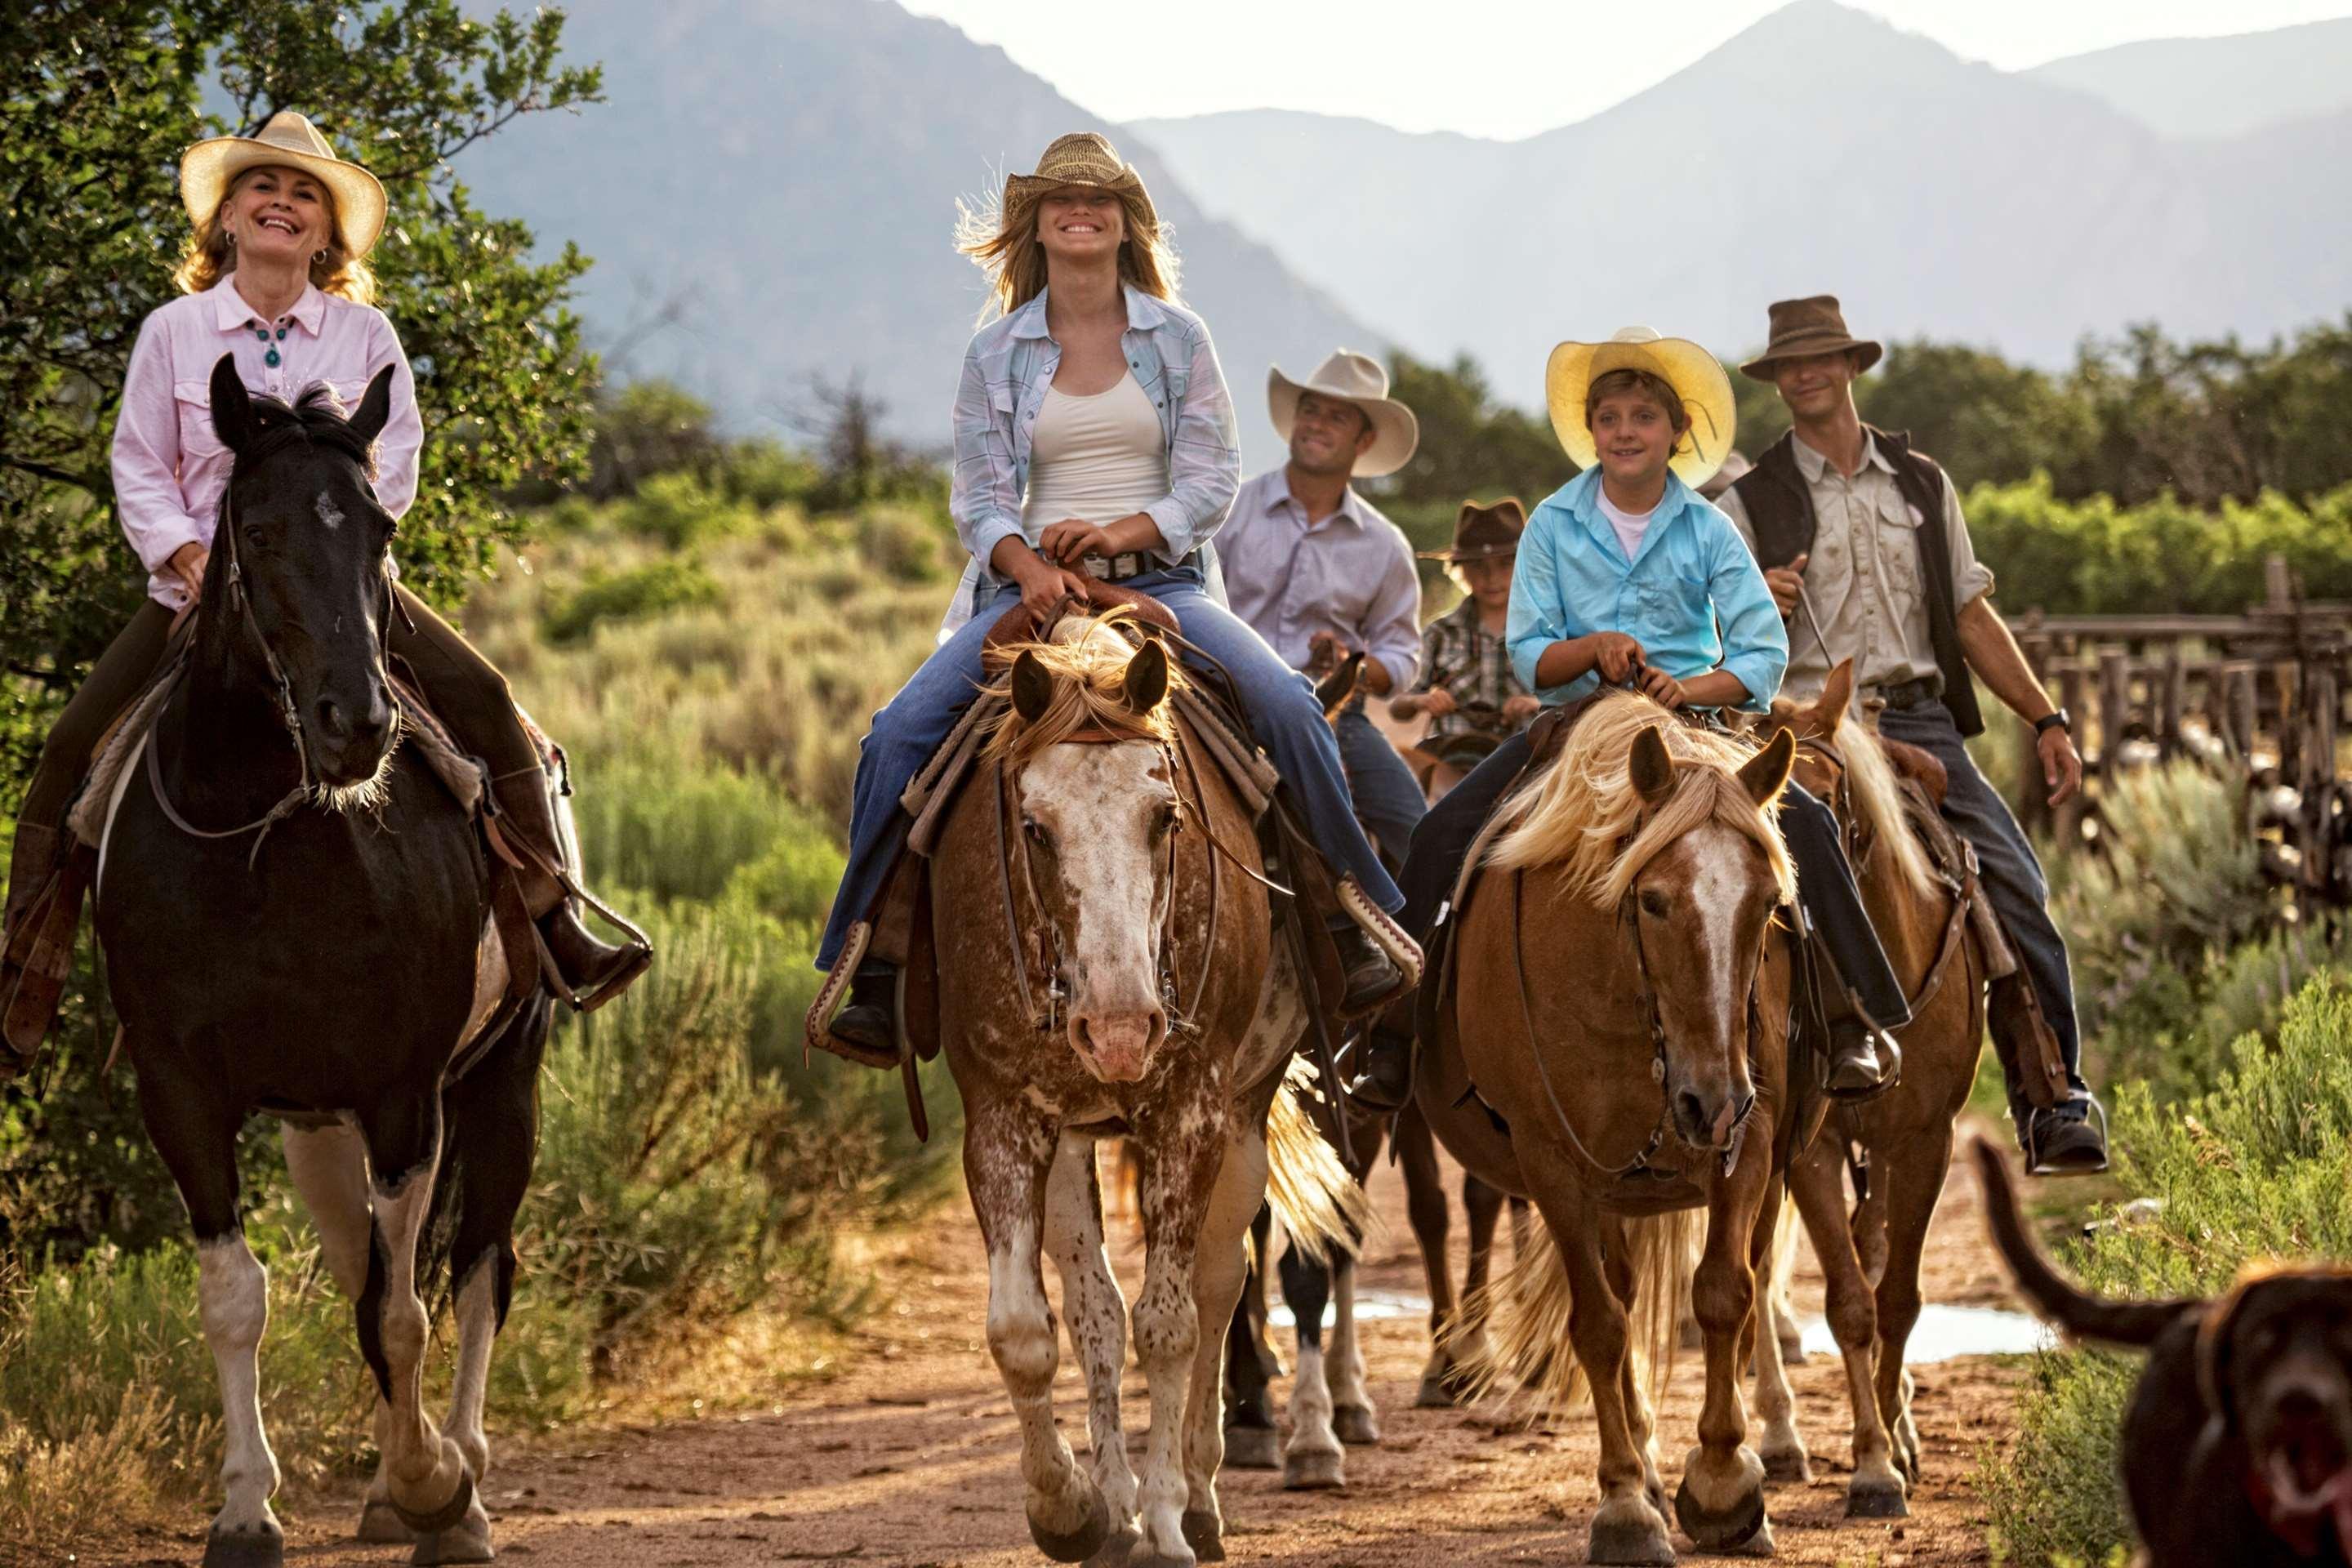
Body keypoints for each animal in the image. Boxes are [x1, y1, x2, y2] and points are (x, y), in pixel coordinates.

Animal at [91, 359, 550, 1568]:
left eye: (380, 528)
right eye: (254, 529)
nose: (356, 726)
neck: (257, 840)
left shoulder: (404, 1094)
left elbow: (402, 1310)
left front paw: (438, 1486)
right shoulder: (181, 1092)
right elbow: (241, 1298)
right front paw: (248, 1509)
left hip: (503, 1081)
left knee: (478, 1272)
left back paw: (456, 1480)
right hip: (317, 1124)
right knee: (367, 1263)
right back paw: (393, 1484)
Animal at [921, 611, 1354, 1568]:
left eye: (1166, 817)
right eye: (1034, 827)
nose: (1120, 1030)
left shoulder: (1189, 1114)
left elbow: (1172, 1323)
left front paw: (1163, 1524)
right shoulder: (1005, 1117)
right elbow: (1031, 1331)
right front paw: (1072, 1509)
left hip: (1242, 1124)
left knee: (1219, 1284)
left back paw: (1200, 1494)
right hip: (1078, 1143)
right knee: (1097, 1310)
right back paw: (1117, 1502)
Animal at [1411, 700, 1797, 1568]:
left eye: (1767, 904)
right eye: (1651, 900)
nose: (1710, 1101)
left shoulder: (1751, 1142)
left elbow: (1724, 1294)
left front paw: (1723, 1484)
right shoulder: (1552, 1163)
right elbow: (1599, 1325)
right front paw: (1625, 1505)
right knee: (1616, 1298)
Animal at [1749, 667, 1984, 1523]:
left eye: (1829, 802)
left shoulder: (1925, 1141)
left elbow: (1899, 1297)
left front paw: (1896, 1435)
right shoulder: (1811, 1149)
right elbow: (1851, 1302)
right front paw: (1874, 1466)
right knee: (1757, 1277)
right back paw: (1777, 1441)